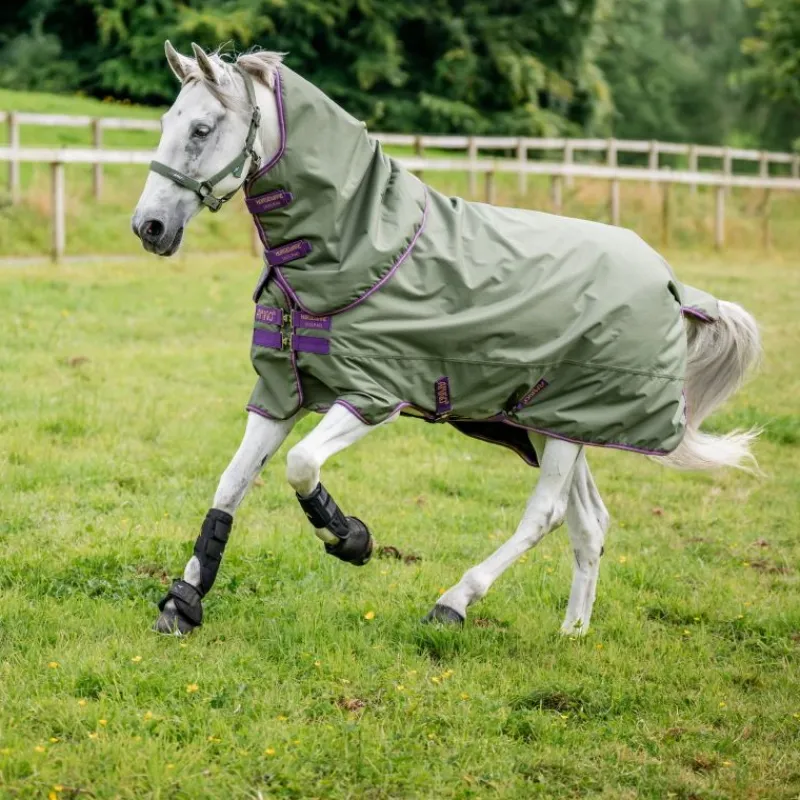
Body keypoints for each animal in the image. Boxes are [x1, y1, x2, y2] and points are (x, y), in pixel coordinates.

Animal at [132, 43, 761, 637]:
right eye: (166, 121)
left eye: (201, 129)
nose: (149, 228)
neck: (362, 247)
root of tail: (673, 285)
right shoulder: (281, 393)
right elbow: (231, 485)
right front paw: (183, 604)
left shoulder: (372, 396)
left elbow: (302, 464)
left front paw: (350, 539)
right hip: (557, 425)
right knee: (589, 523)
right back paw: (572, 635)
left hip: (569, 422)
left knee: (547, 514)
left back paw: (453, 604)